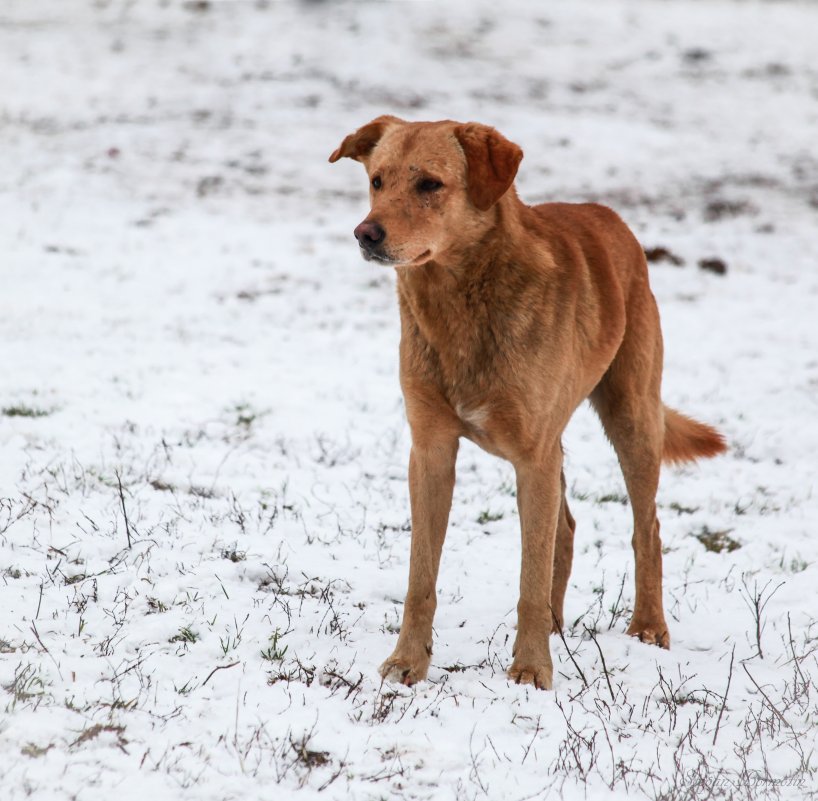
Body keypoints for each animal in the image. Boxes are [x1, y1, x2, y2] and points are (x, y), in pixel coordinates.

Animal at [328, 114, 724, 688]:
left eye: (429, 184)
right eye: (377, 181)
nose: (366, 233)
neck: (459, 305)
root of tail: (607, 215)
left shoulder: (532, 456)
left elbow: (529, 580)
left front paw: (533, 669)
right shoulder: (431, 452)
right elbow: (421, 578)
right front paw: (408, 662)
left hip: (631, 416)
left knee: (645, 527)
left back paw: (648, 626)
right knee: (567, 528)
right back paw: (559, 625)